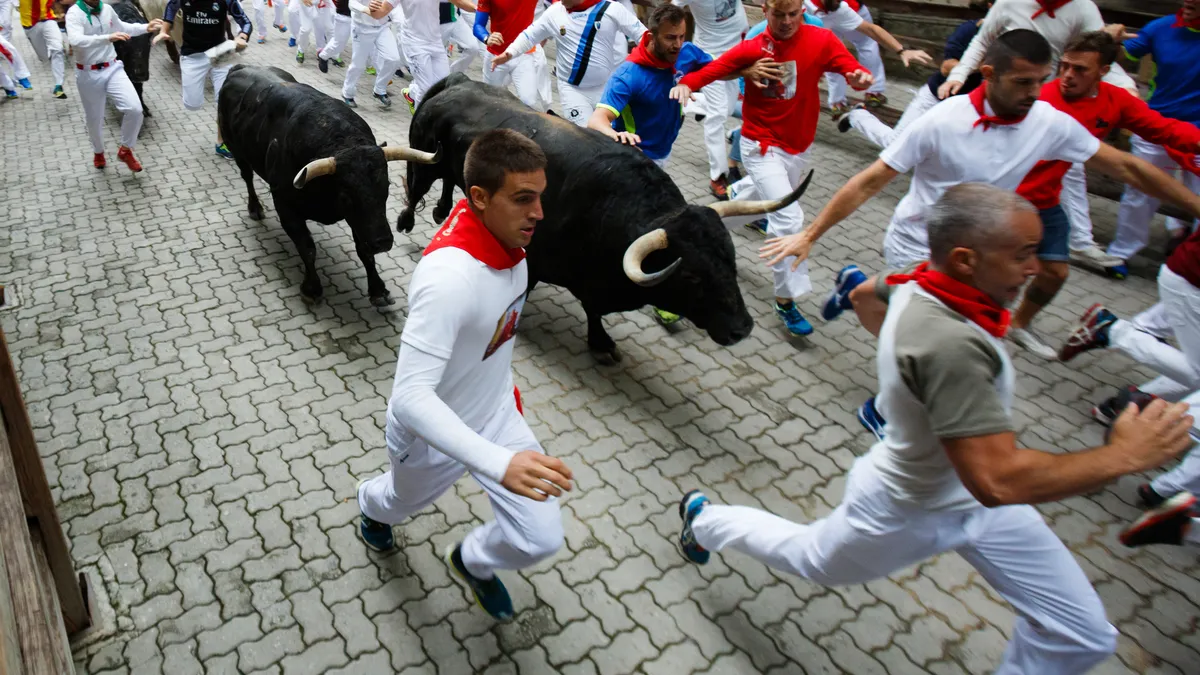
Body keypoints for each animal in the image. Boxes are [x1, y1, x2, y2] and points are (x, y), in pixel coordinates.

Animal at [218, 63, 439, 305]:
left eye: (387, 188)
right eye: (346, 195)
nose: (382, 241)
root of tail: (240, 68)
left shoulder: (359, 220)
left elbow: (364, 250)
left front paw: (378, 289)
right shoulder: (285, 203)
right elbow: (307, 247)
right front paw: (311, 288)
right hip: (237, 150)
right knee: (247, 176)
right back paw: (255, 208)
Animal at [398, 72, 811, 362]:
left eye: (730, 261)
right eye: (692, 275)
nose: (742, 328)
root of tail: (459, 82)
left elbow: (593, 309)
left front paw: (600, 341)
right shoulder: (538, 256)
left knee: (448, 182)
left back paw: (440, 210)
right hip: (425, 155)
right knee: (417, 186)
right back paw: (407, 219)